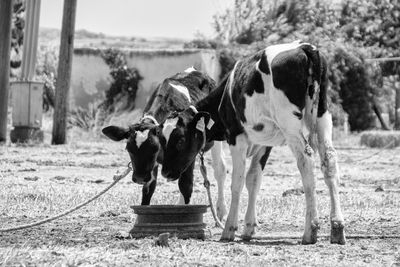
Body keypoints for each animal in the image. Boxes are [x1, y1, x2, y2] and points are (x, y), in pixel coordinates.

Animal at [103, 68, 228, 219]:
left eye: (154, 148)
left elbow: (186, 185)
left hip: (215, 140)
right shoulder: (154, 167)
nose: (139, 177)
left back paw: (221, 210)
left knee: (220, 169)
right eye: (128, 149)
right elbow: (148, 189)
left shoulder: (188, 156)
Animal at [159, 40, 346, 246]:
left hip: (289, 124)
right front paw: (248, 227)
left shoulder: (236, 137)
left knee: (306, 161)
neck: (226, 94)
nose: (165, 172)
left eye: (180, 139)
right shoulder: (264, 143)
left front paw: (229, 229)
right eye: (162, 138)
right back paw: (337, 227)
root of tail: (304, 47)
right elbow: (253, 179)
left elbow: (237, 182)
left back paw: (310, 230)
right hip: (322, 116)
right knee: (329, 160)